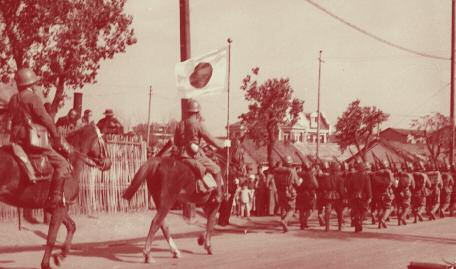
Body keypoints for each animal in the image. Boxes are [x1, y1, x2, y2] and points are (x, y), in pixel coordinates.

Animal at [0, 123, 111, 268]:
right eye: (104, 141)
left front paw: (61, 255)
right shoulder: (59, 208)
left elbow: (71, 226)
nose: (108, 163)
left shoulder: (55, 208)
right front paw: (46, 263)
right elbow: (51, 236)